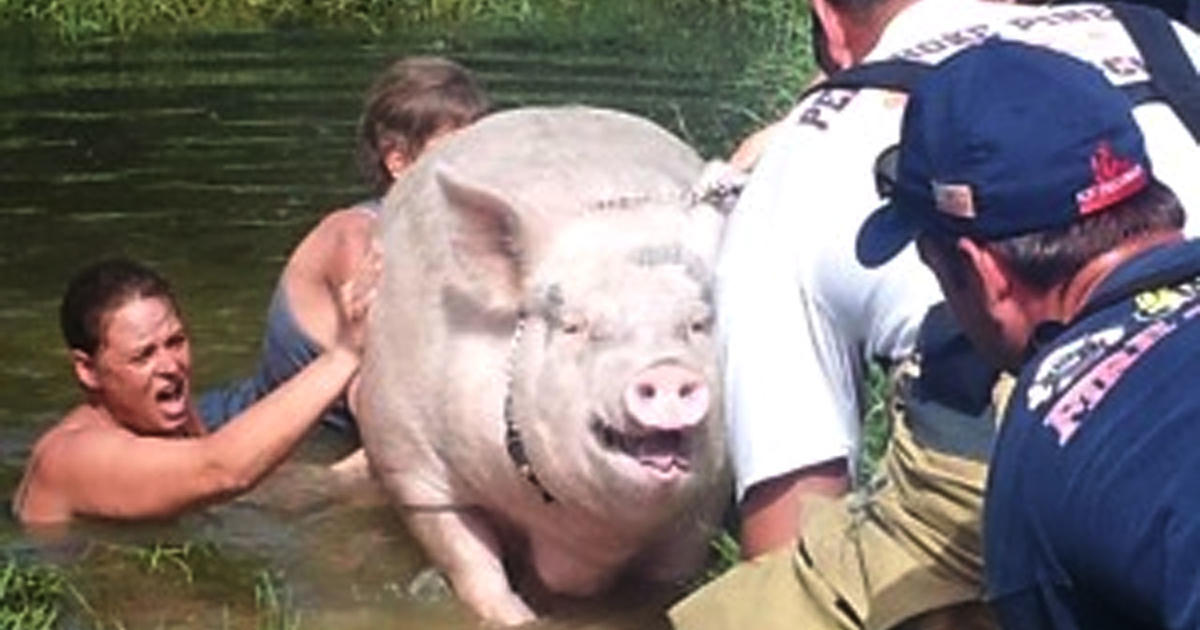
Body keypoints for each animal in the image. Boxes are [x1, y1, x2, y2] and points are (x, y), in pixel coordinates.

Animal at [352, 105, 729, 619]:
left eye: (697, 323)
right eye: (574, 325)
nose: (666, 371)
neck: (585, 537)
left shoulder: (705, 506)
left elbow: (670, 582)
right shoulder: (408, 460)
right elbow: (471, 562)